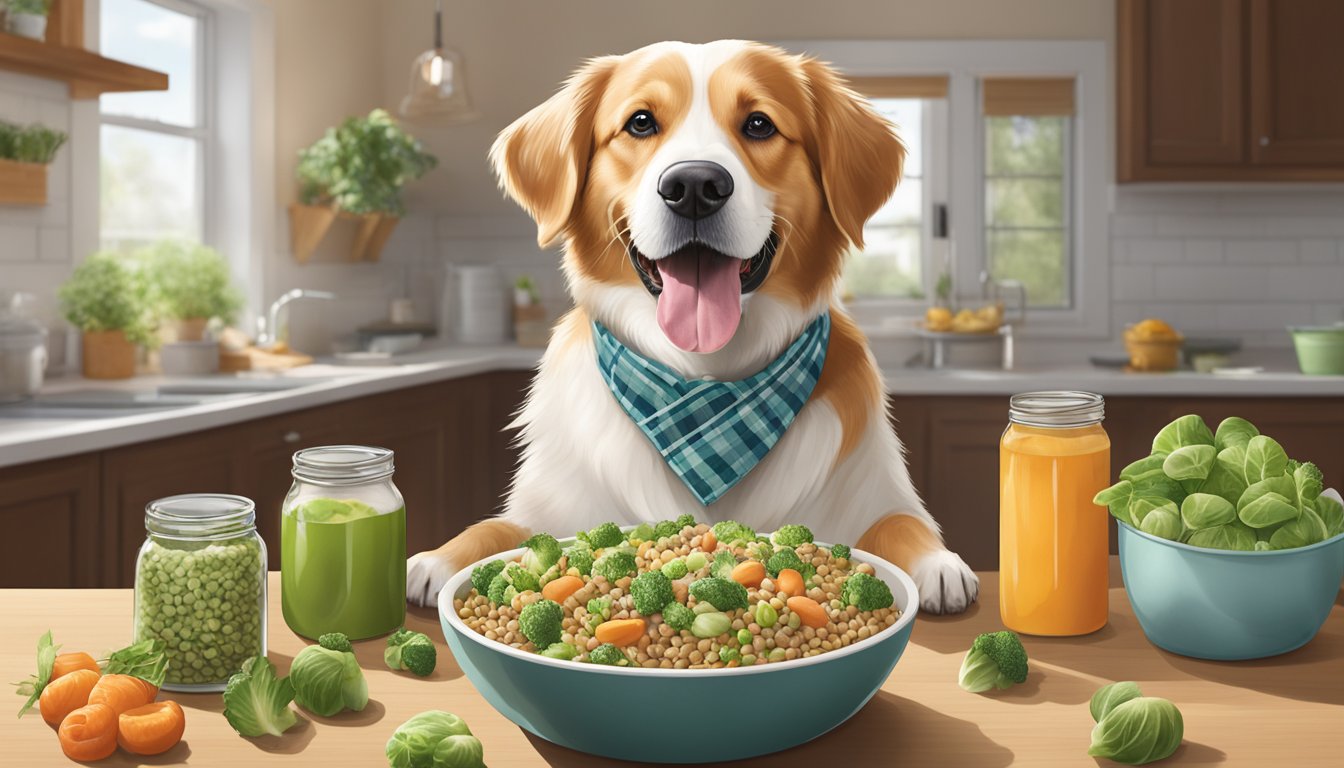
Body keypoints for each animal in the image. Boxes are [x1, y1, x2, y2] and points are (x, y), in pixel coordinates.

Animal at [403, 40, 983, 618]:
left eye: (759, 124)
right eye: (640, 122)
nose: (695, 186)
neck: (704, 382)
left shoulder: (874, 496)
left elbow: (904, 523)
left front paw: (942, 566)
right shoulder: (550, 506)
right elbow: (496, 528)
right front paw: (434, 559)